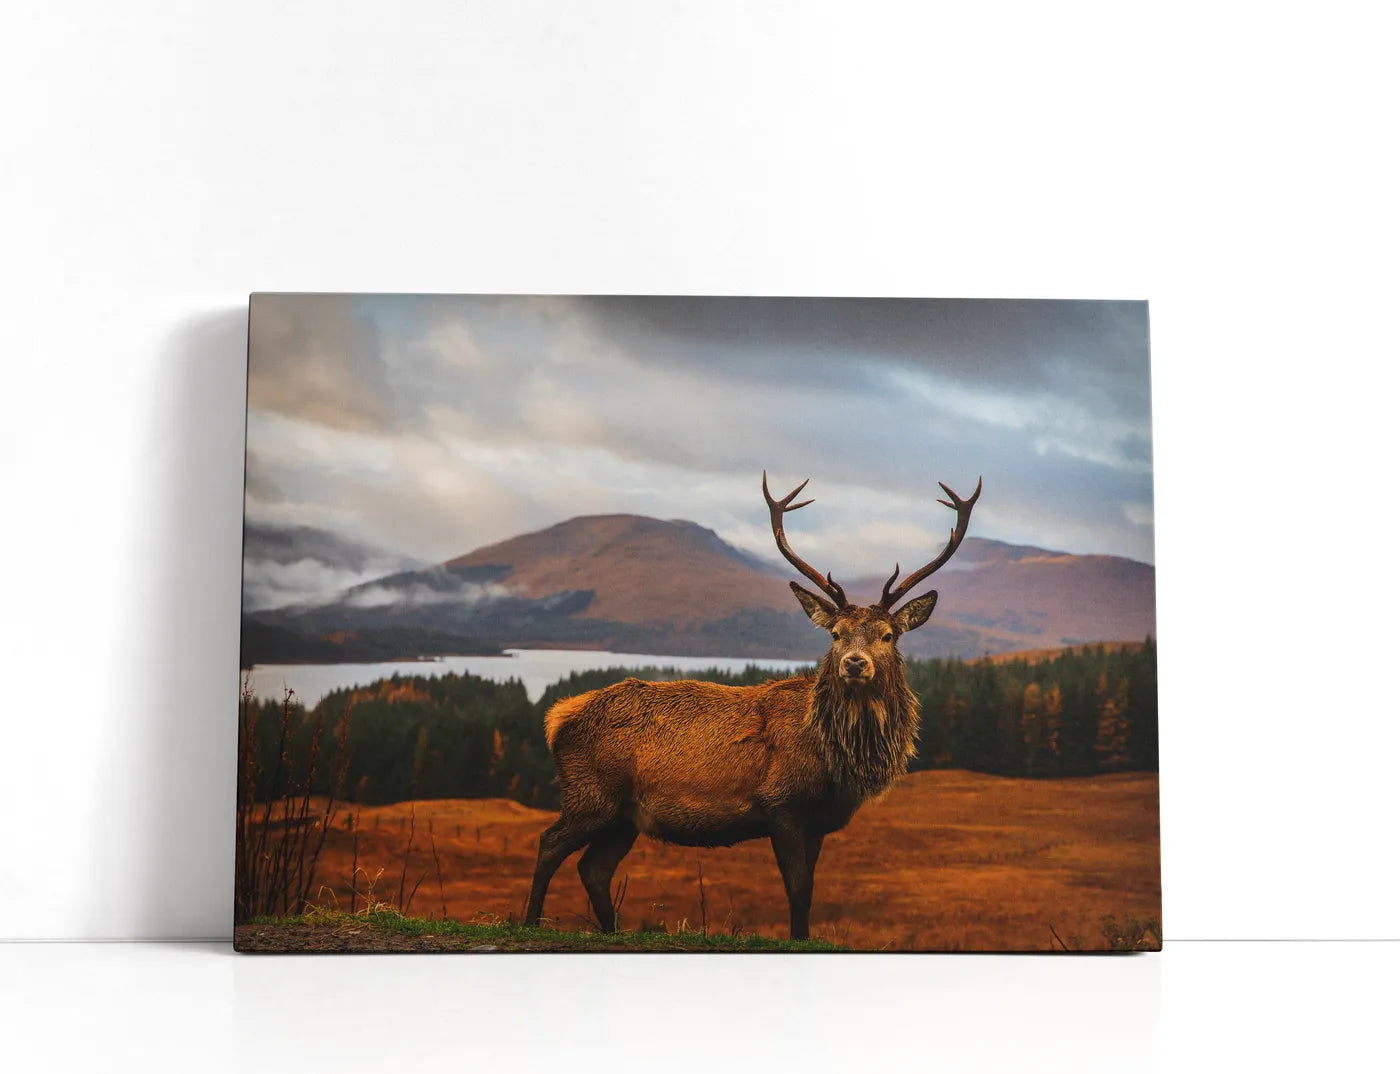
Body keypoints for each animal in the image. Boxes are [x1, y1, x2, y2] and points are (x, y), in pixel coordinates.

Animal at [524, 470, 982, 940]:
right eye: (835, 634)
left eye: (888, 635)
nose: (855, 663)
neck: (837, 761)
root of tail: (557, 717)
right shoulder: (780, 802)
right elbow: (797, 889)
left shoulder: (818, 821)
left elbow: (808, 890)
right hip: (591, 793)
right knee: (549, 844)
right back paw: (529, 920)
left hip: (624, 816)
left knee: (593, 868)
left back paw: (611, 930)